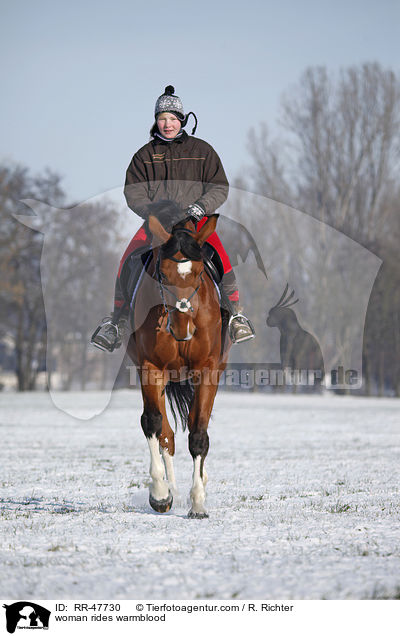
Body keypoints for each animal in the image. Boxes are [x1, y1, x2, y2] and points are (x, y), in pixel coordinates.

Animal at [126, 206, 230, 520]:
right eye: (163, 273)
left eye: (198, 273)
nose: (182, 327)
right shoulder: (150, 368)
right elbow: (153, 423)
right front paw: (160, 494)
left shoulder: (207, 371)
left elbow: (198, 434)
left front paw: (198, 502)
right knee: (167, 435)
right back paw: (170, 487)